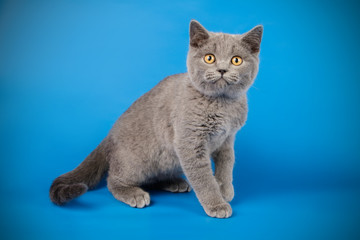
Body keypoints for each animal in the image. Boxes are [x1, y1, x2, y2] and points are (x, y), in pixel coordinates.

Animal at [49, 20, 262, 219]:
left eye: (236, 60)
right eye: (209, 58)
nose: (222, 70)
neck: (222, 104)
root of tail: (109, 136)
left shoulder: (227, 139)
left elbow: (227, 165)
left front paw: (225, 191)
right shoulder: (190, 143)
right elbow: (203, 177)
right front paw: (217, 204)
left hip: (167, 159)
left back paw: (174, 182)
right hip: (136, 162)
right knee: (113, 180)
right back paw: (134, 194)